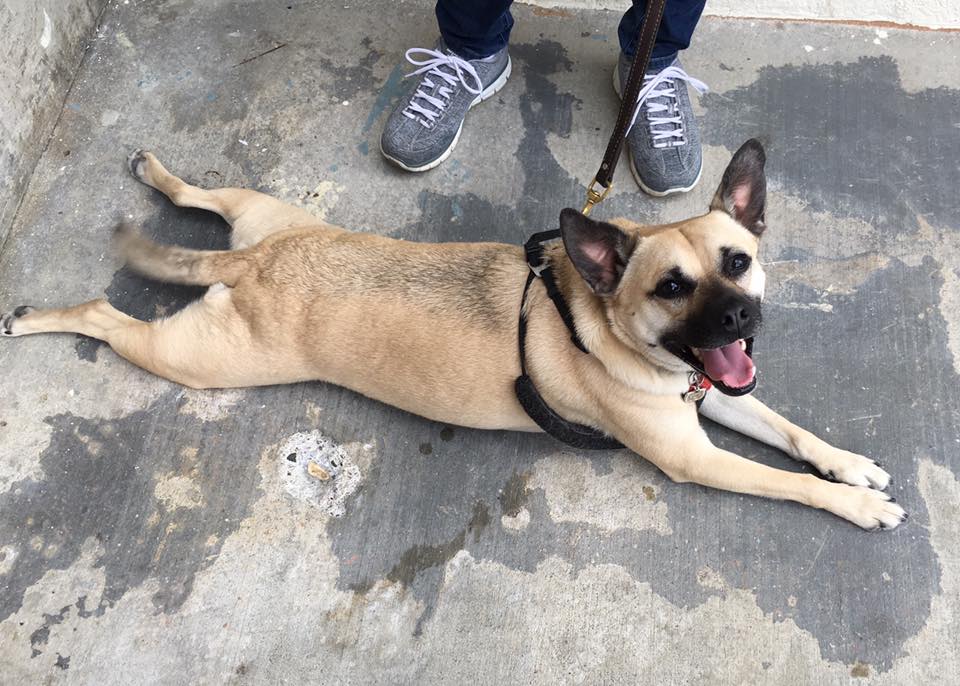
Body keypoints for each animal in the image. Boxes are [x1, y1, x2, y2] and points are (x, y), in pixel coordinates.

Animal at [1, 141, 908, 532]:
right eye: (672, 288)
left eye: (739, 261)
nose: (739, 320)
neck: (609, 323)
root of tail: (259, 260)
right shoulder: (695, 455)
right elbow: (781, 481)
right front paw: (853, 504)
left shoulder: (712, 396)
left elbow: (790, 431)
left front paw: (849, 465)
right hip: (196, 358)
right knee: (103, 315)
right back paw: (35, 318)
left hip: (257, 210)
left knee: (200, 194)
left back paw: (159, 173)